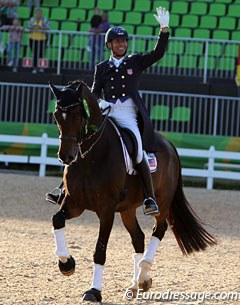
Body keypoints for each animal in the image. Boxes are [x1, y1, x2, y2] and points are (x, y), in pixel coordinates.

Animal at [49, 80, 217, 302]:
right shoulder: (74, 204)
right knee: (138, 238)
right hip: (127, 210)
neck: (91, 156)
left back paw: (144, 274)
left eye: (78, 115)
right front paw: (66, 263)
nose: (66, 156)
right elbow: (57, 220)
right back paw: (136, 284)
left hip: (162, 202)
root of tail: (168, 144)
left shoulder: (107, 210)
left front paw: (94, 291)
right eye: (56, 115)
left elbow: (100, 250)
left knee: (159, 229)